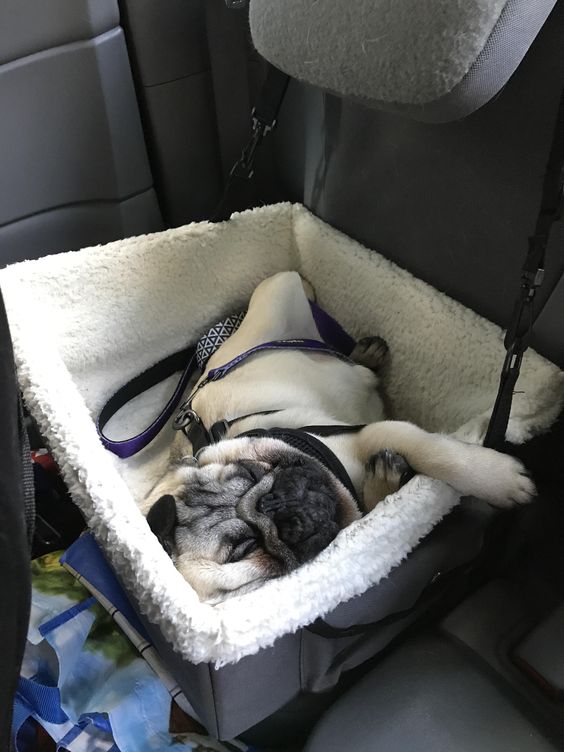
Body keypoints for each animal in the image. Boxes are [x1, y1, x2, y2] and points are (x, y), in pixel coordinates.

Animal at [143, 274, 536, 604]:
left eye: (252, 472)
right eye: (245, 550)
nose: (276, 502)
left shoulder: (369, 433)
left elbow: (436, 453)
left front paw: (499, 480)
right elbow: (380, 502)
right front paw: (385, 480)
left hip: (277, 298)